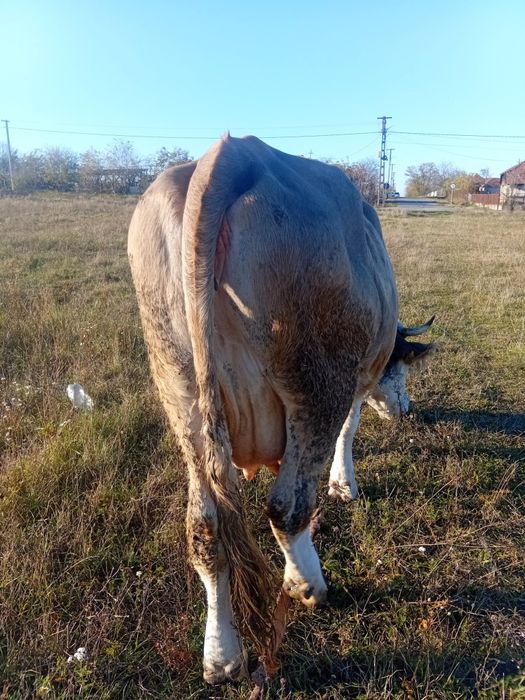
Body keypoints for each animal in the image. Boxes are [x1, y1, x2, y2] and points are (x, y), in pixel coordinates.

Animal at [128, 135, 434, 683]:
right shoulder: (353, 382)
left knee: (204, 525)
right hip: (315, 383)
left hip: (181, 394)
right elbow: (349, 431)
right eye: (401, 365)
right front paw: (344, 485)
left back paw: (221, 656)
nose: (405, 410)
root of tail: (234, 152)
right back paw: (308, 586)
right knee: (288, 507)